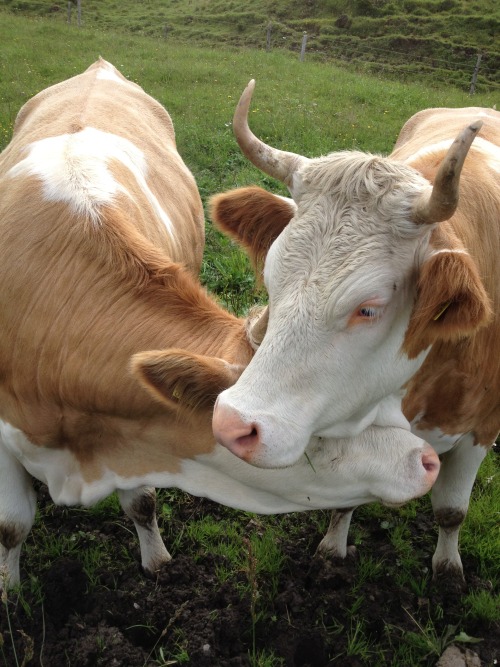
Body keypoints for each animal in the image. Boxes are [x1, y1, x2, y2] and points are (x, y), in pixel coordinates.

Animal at [0, 62, 438, 588]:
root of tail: (98, 68)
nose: (429, 460)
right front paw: (10, 591)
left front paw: (156, 561)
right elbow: (11, 526)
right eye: (324, 432)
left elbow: (141, 503)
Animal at [212, 81, 500, 580]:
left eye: (368, 308)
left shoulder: (482, 429)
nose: (233, 424)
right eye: (271, 276)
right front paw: (333, 547)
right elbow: (345, 498)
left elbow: (451, 513)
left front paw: (448, 570)